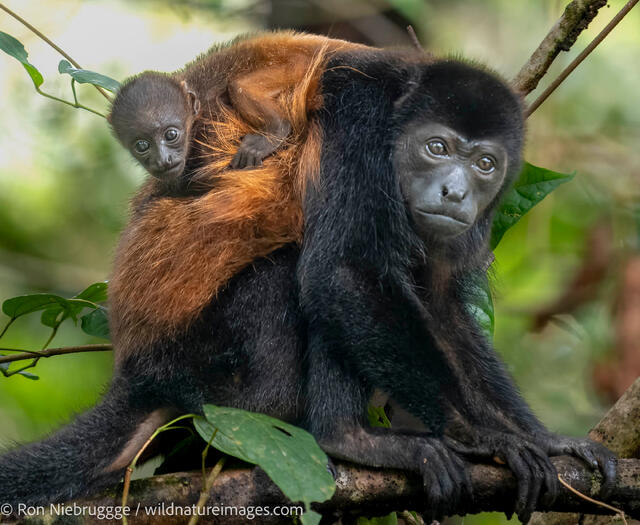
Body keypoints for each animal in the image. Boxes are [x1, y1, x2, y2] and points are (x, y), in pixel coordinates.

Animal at [0, 49, 616, 522]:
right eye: (437, 148)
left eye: (486, 163)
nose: (454, 193)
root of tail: (138, 370)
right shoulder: (359, 128)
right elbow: (340, 272)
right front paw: (485, 436)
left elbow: (440, 306)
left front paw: (540, 437)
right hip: (204, 366)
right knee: (295, 273)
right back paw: (350, 439)